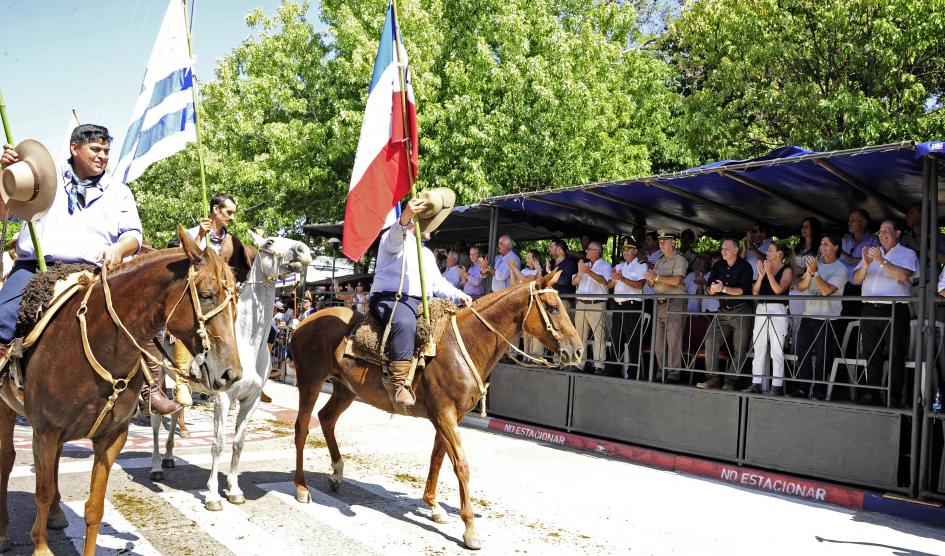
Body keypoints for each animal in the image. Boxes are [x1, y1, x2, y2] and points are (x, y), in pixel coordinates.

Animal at [0, 227, 243, 556]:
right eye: (206, 295)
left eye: (237, 298)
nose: (231, 374)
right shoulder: (46, 431)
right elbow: (42, 492)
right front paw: (40, 545)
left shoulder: (110, 437)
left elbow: (94, 508)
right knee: (8, 459)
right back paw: (4, 531)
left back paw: (57, 515)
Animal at [148, 229, 310, 508]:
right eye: (270, 242)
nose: (303, 251)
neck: (247, 342)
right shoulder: (223, 398)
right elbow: (218, 444)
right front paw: (213, 495)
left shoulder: (251, 400)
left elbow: (239, 444)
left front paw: (234, 489)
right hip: (158, 376)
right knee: (158, 420)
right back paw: (157, 465)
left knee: (176, 411)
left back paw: (169, 457)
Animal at [292, 272, 584, 548]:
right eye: (553, 307)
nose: (578, 350)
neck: (463, 344)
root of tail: (302, 322)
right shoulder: (445, 415)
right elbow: (461, 465)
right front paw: (470, 529)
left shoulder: (451, 417)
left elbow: (438, 457)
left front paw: (433, 505)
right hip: (310, 383)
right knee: (302, 428)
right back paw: (302, 487)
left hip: (345, 389)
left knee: (326, 419)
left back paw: (337, 473)